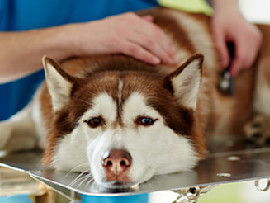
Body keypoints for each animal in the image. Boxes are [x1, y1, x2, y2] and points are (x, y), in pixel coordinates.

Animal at [0, 7, 270, 189]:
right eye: (94, 121)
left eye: (146, 121)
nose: (115, 161)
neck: (120, 60)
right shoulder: (36, 117)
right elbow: (7, 129)